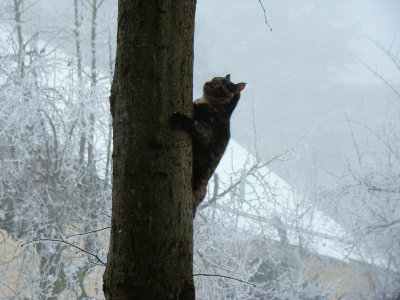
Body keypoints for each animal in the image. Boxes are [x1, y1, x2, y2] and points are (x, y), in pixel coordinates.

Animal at [171, 74, 245, 217]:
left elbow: (193, 123)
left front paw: (179, 117)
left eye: (221, 86)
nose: (208, 83)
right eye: (214, 78)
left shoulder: (206, 136)